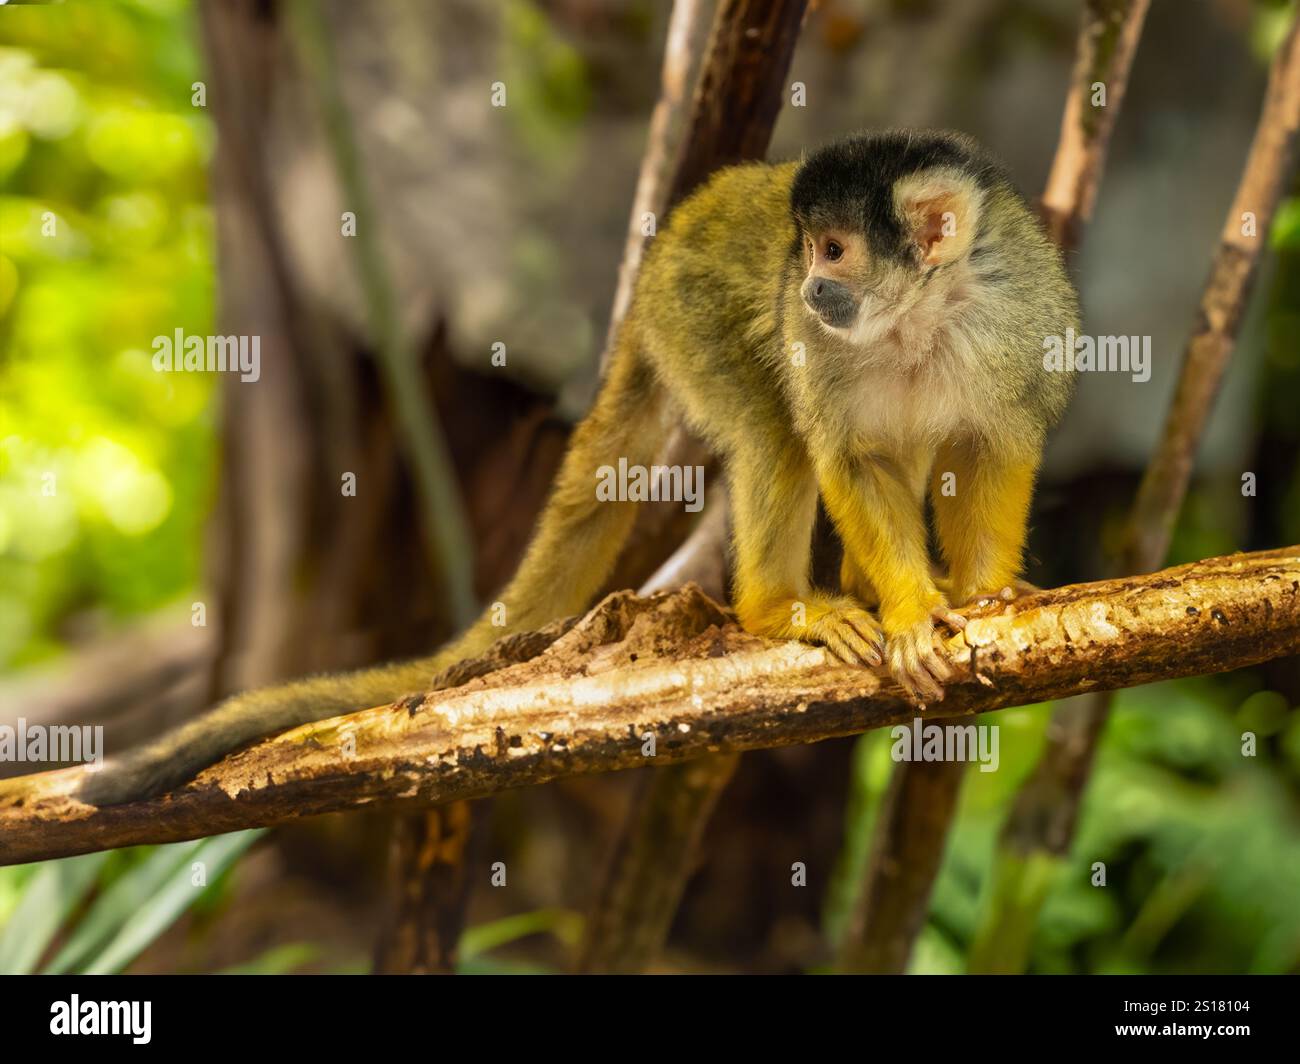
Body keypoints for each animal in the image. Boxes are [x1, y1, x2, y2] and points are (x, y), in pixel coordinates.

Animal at [78, 129, 1077, 806]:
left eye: (834, 249)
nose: (806, 285)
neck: (921, 313)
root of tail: (668, 244)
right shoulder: (818, 346)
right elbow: (845, 455)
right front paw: (910, 613)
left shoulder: (1020, 313)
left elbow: (996, 442)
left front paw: (985, 592)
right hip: (692, 313)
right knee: (777, 433)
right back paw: (779, 612)